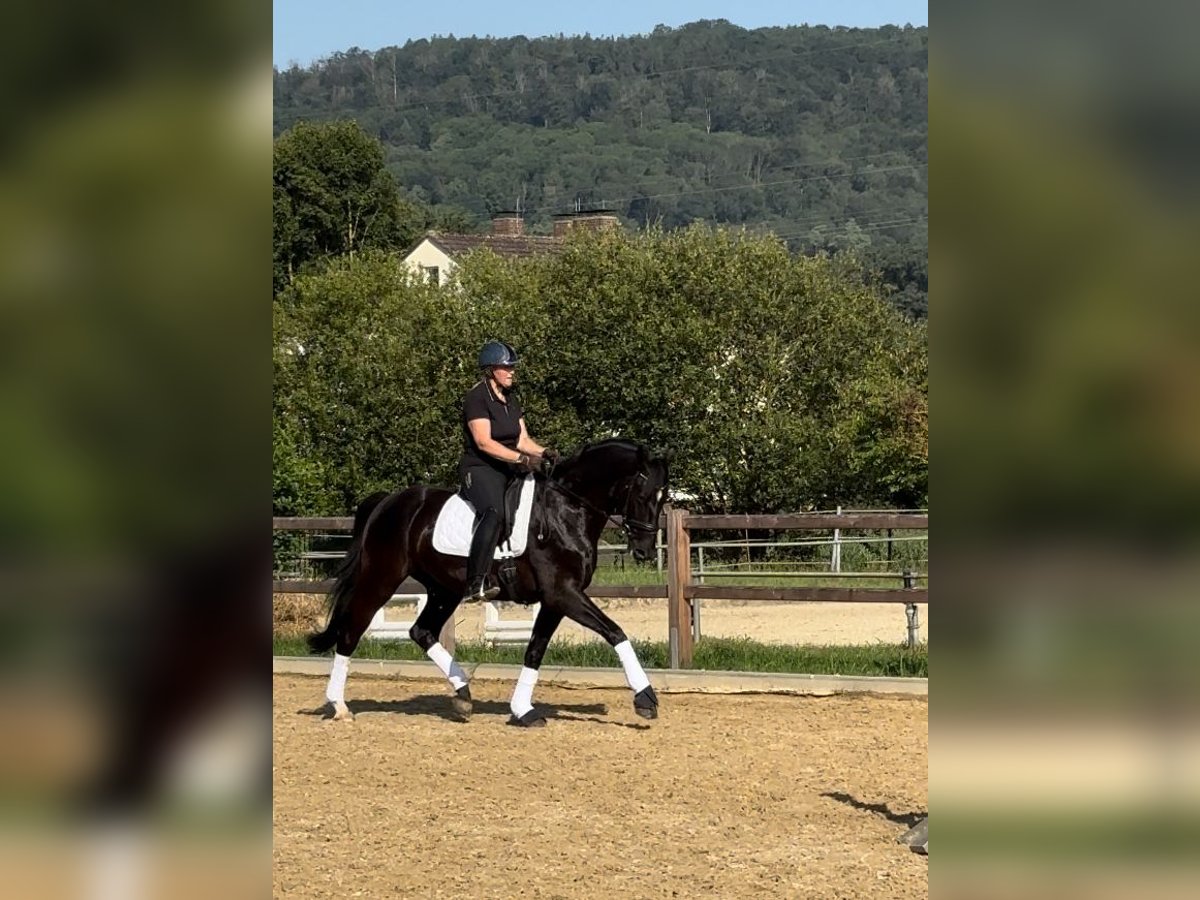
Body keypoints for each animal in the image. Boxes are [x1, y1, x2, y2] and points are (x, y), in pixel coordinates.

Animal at [304, 441, 672, 729]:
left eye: (663, 496)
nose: (643, 550)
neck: (566, 511)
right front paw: (645, 698)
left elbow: (535, 650)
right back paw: (339, 705)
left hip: (443, 590)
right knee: (352, 629)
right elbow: (615, 632)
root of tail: (387, 502)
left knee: (421, 631)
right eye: (642, 493)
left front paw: (523, 710)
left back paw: (463, 694)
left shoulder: (556, 600)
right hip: (381, 579)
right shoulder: (564, 593)